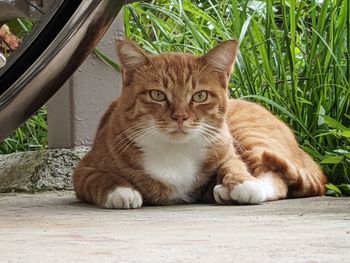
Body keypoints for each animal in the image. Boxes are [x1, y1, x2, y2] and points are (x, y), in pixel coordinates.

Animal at [72, 39, 326, 209]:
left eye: (200, 96)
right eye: (157, 95)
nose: (180, 116)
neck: (174, 151)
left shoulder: (228, 150)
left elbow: (234, 165)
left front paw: (242, 183)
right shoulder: (83, 170)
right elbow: (102, 178)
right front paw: (123, 191)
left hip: (249, 135)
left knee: (277, 177)